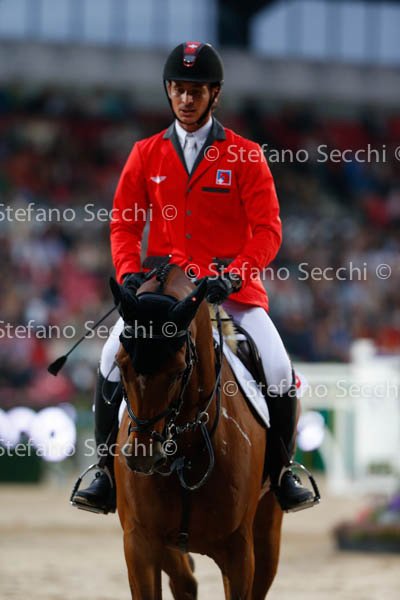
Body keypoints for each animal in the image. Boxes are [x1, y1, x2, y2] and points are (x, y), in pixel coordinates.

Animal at [110, 264, 283, 599]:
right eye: (120, 364)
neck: (185, 450)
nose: (142, 457)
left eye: (179, 371)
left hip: (267, 531)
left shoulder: (239, 551)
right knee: (184, 580)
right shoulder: (139, 544)